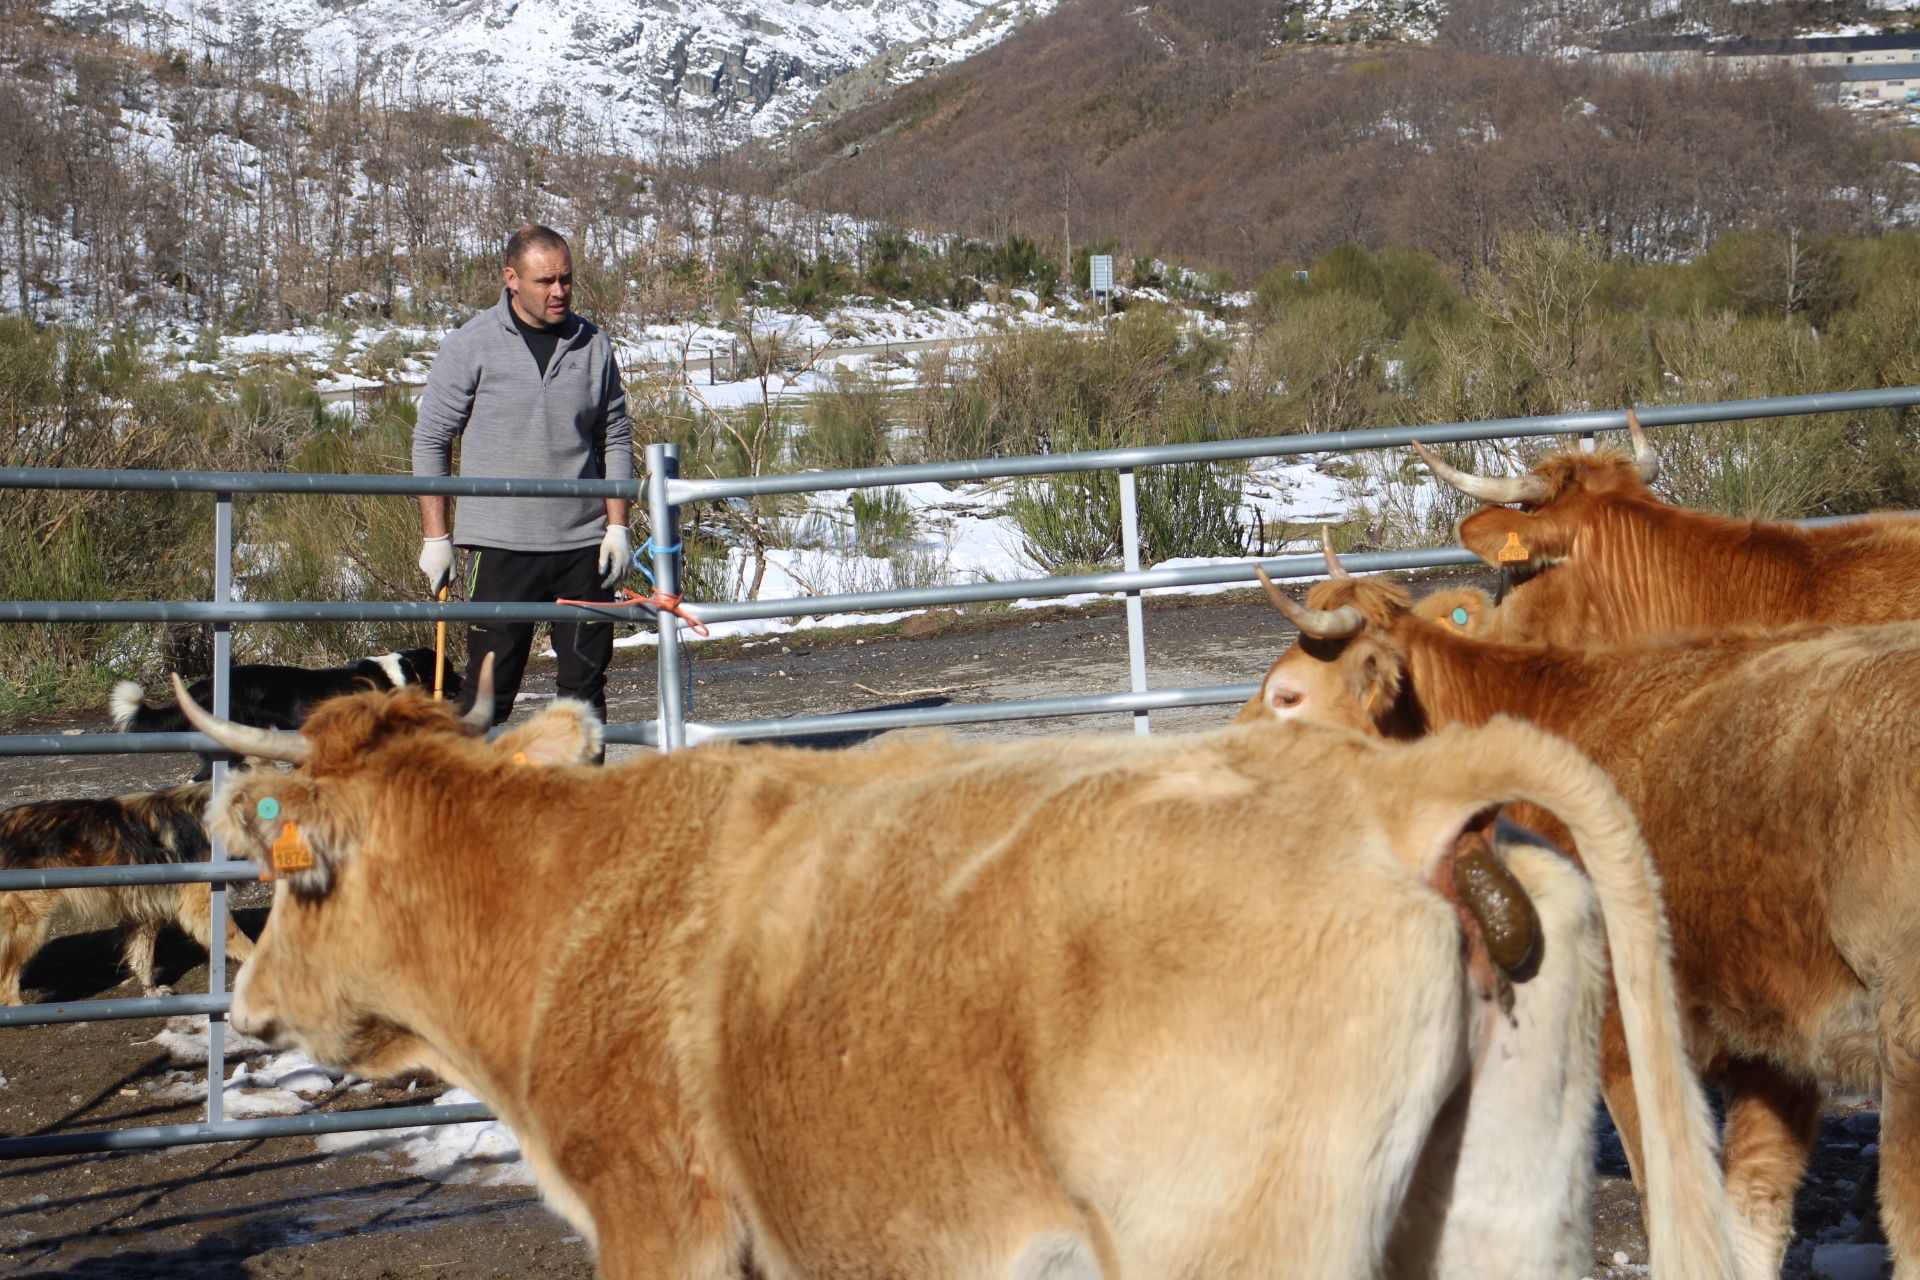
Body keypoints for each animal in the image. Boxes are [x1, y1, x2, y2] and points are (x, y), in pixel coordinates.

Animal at [0, 786, 251, 1005]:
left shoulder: (146, 912)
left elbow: (142, 958)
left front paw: (151, 992)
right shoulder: (202, 908)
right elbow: (244, 943)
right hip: (30, 926)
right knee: (6, 980)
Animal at [183, 660, 1743, 1280]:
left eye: (281, 876)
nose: (244, 1012)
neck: (572, 896)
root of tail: (1378, 785)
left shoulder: (660, 1222)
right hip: (1500, 1207)